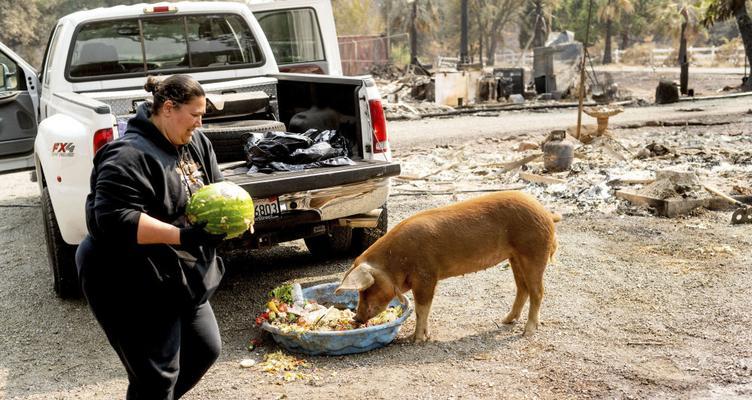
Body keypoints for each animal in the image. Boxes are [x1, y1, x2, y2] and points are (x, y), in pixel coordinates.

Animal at [334, 191, 560, 340]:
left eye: (366, 289)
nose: (356, 317)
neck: (396, 261)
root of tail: (546, 213)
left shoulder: (426, 275)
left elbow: (422, 308)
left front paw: (417, 340)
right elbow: (424, 309)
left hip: (533, 252)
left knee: (538, 291)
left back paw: (527, 332)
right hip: (515, 257)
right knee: (522, 289)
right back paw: (506, 320)